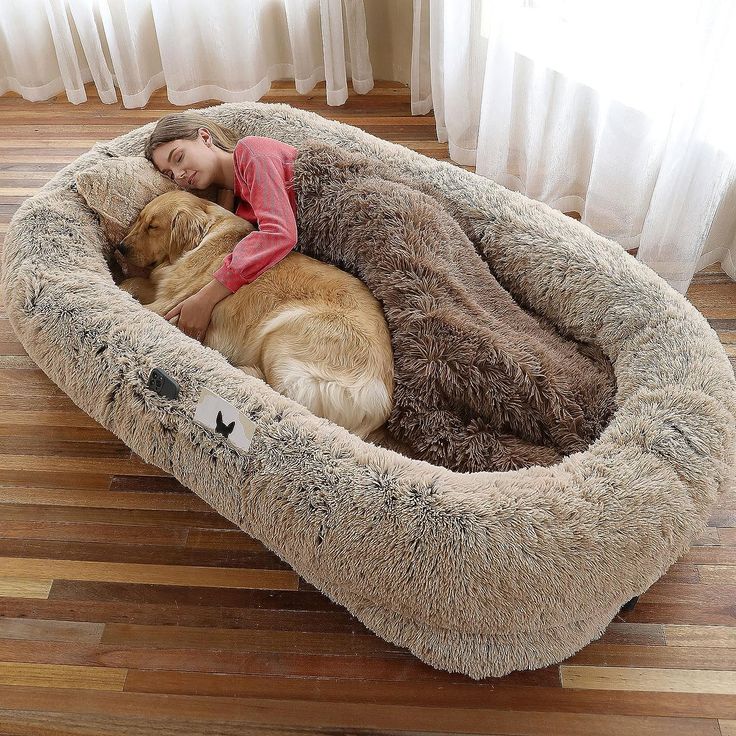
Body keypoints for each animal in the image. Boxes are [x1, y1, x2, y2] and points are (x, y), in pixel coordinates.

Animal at [115, 191, 394, 442]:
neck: (204, 237)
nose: (120, 247)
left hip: (282, 335)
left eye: (153, 226)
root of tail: (380, 405)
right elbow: (132, 283)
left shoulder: (169, 302)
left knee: (285, 399)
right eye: (140, 219)